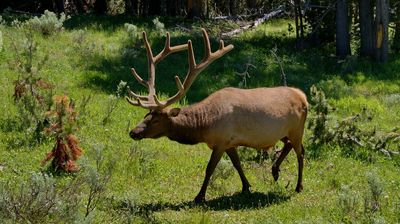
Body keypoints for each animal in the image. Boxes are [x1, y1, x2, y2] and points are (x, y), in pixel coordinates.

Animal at [126, 28, 308, 204]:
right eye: (146, 115)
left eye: (156, 120)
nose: (133, 132)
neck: (204, 126)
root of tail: (303, 97)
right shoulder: (229, 142)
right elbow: (237, 164)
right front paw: (246, 187)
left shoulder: (221, 141)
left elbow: (210, 168)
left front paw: (199, 197)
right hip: (283, 132)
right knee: (289, 145)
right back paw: (275, 171)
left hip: (297, 129)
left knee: (301, 152)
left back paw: (298, 186)